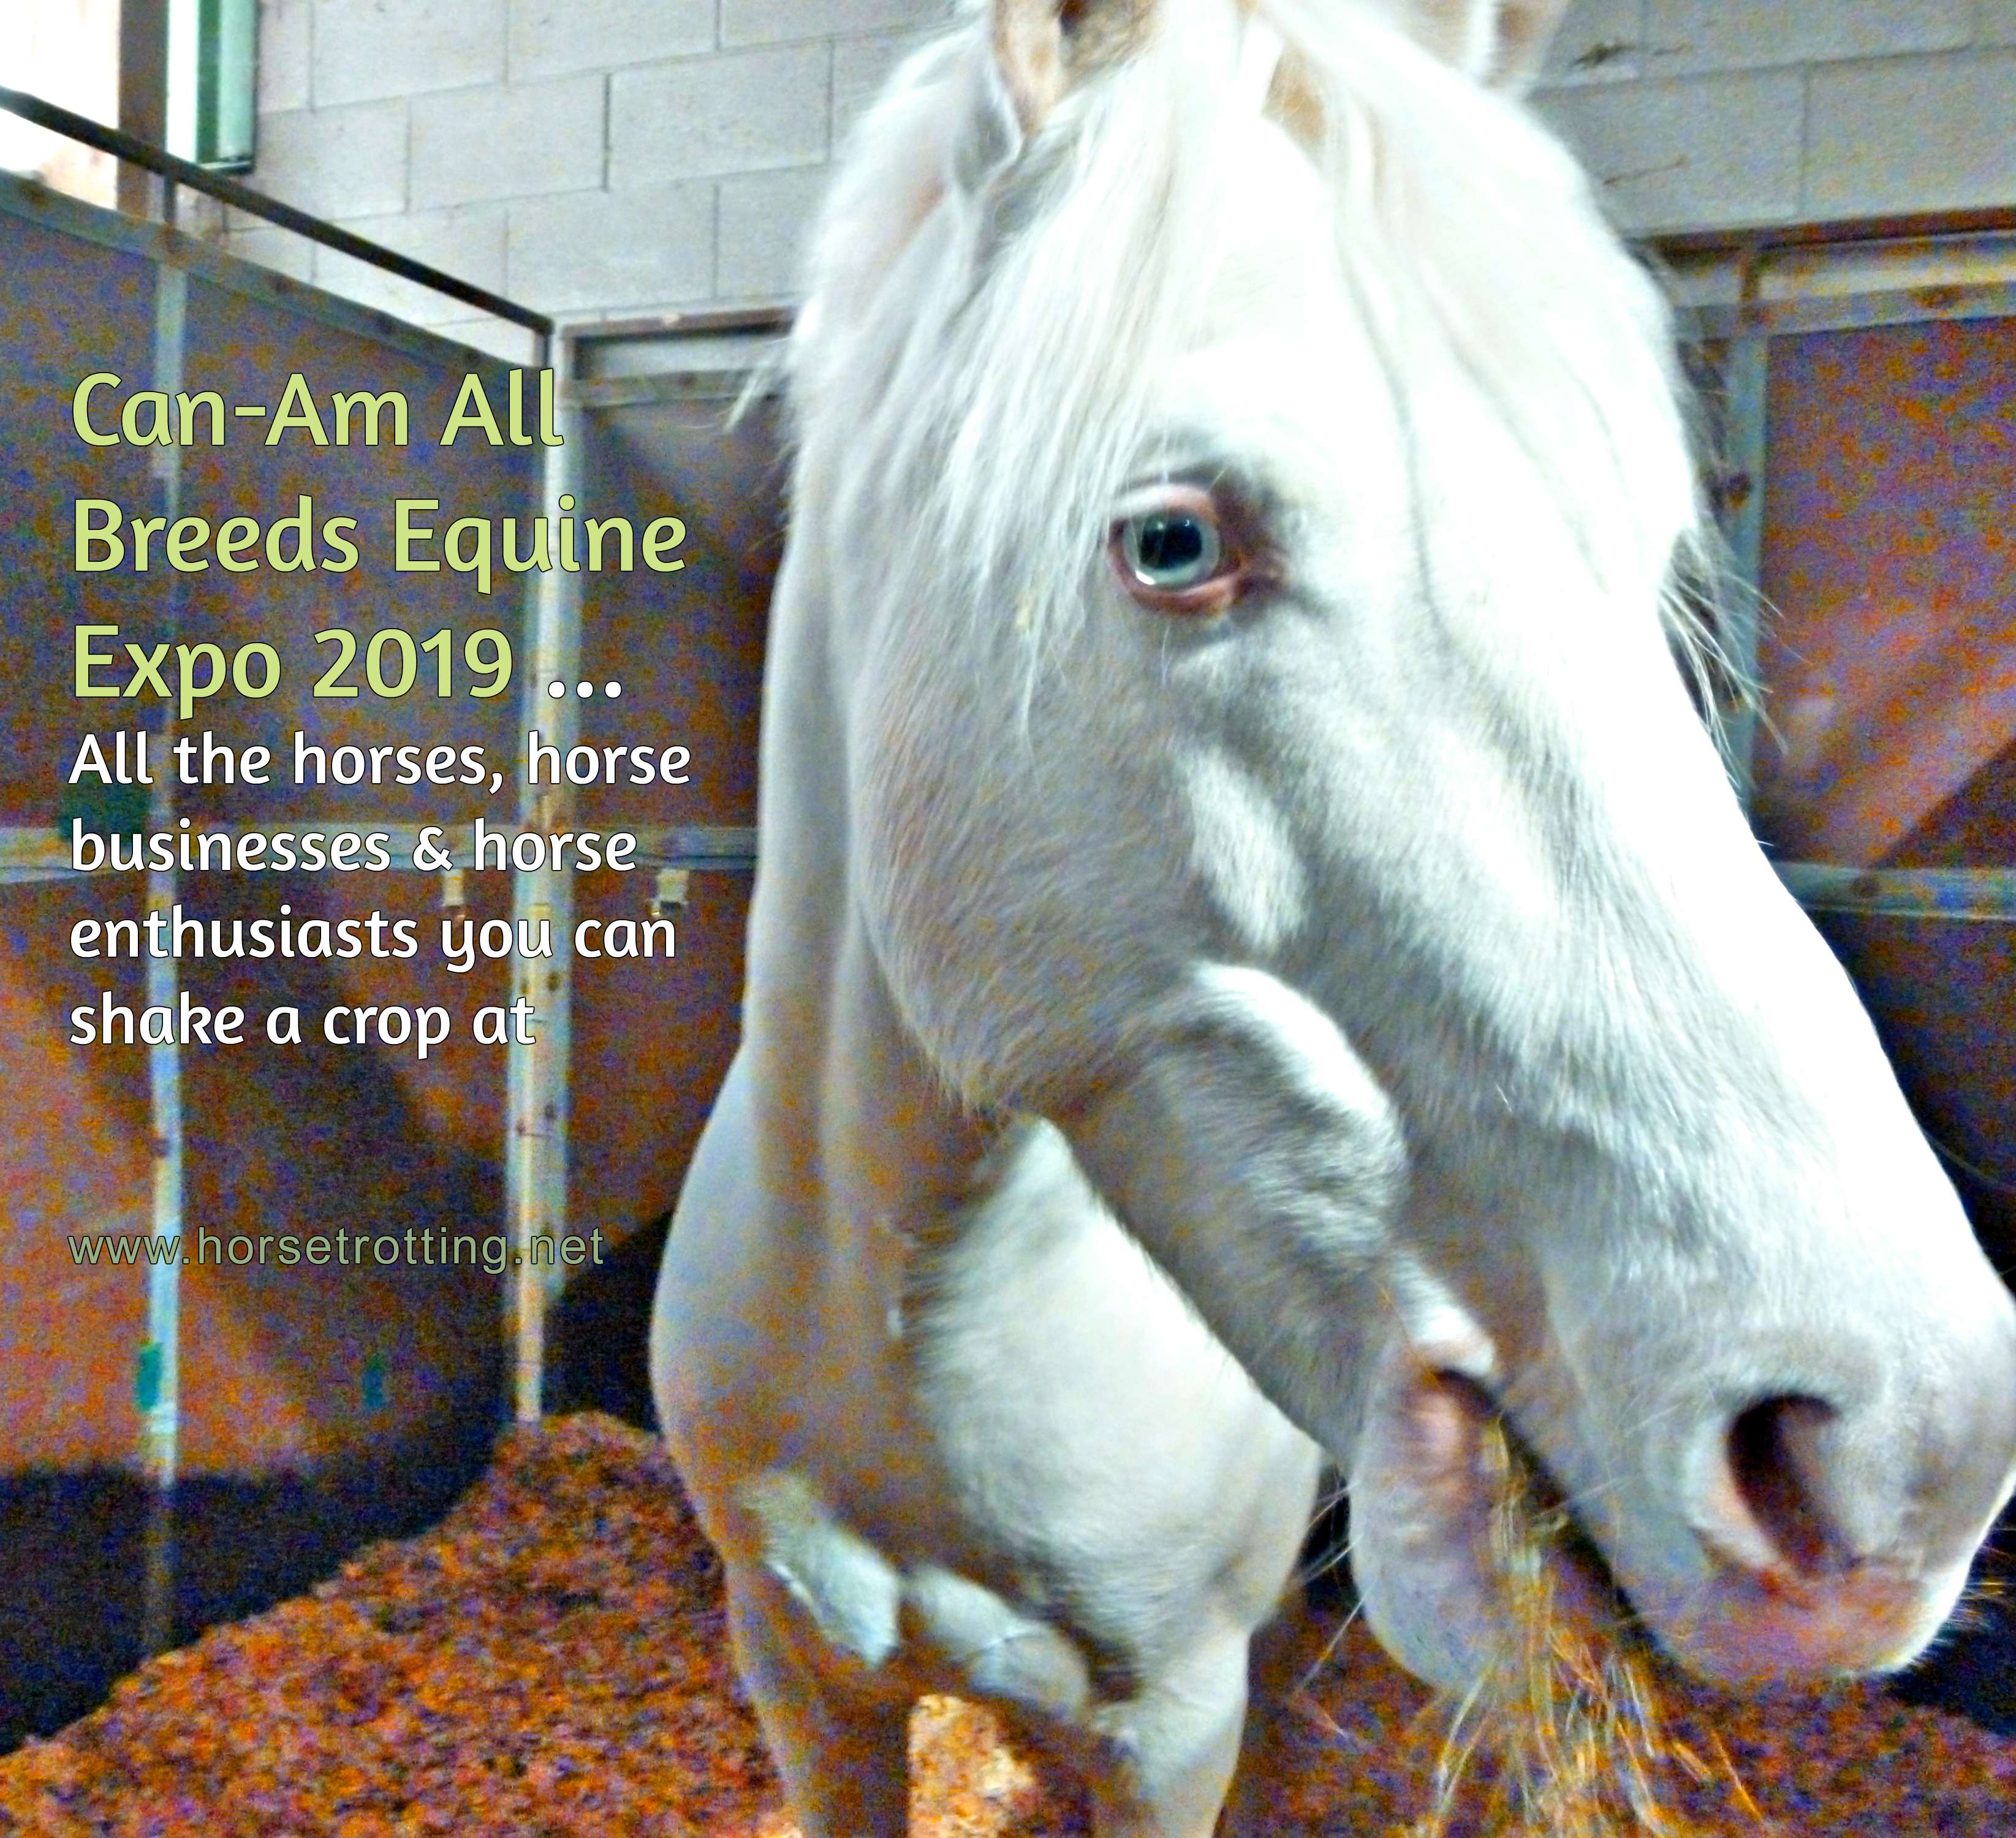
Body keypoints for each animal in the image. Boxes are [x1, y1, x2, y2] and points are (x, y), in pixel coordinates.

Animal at [650, 2, 2016, 1831]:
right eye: (1174, 542)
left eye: (1641, 541)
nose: (1897, 1451)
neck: (916, 1314)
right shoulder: (803, 1681)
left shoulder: (1168, 1727)